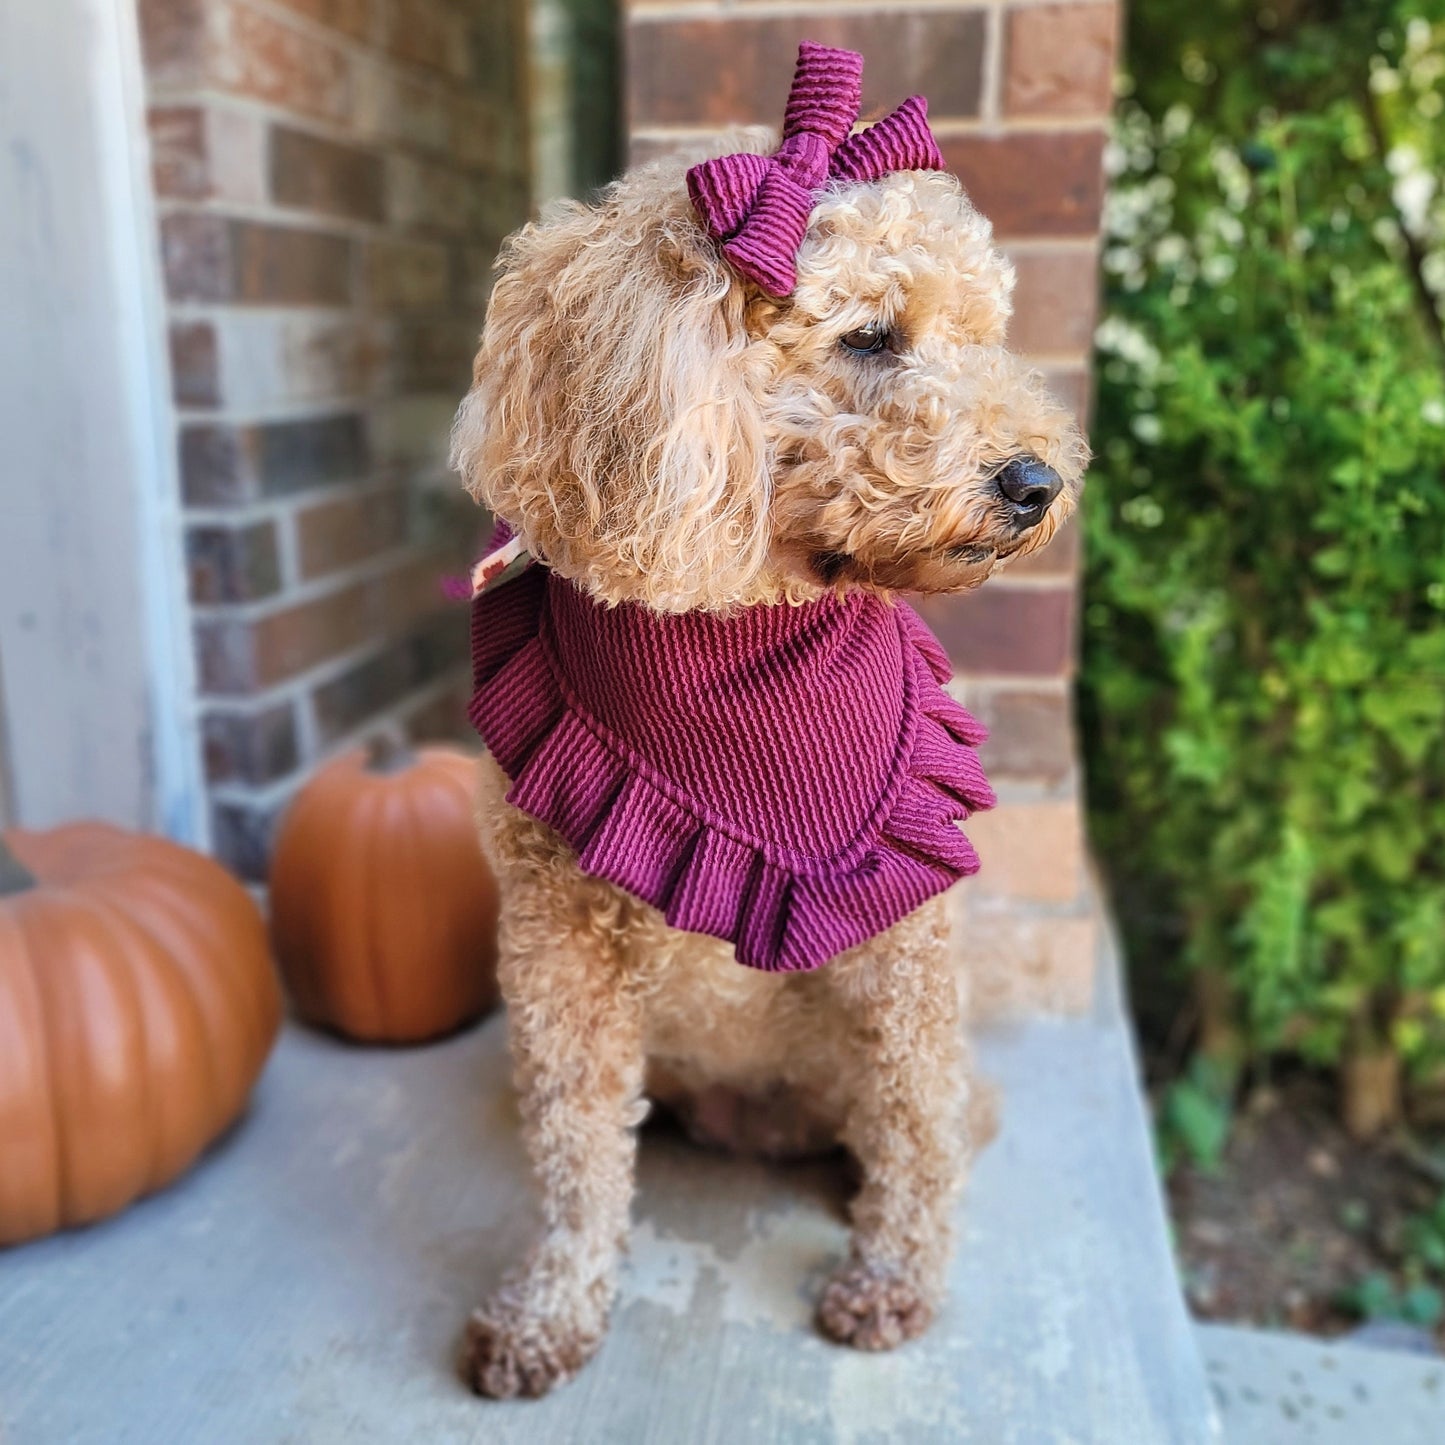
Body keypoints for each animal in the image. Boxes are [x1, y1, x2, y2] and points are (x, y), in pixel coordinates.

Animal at [450, 45, 1086, 1398]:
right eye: (869, 337)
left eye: (983, 336)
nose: (1036, 481)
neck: (735, 627)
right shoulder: (558, 952)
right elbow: (576, 1157)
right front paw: (551, 1310)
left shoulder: (905, 951)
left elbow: (912, 1127)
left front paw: (893, 1280)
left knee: (931, 1122)